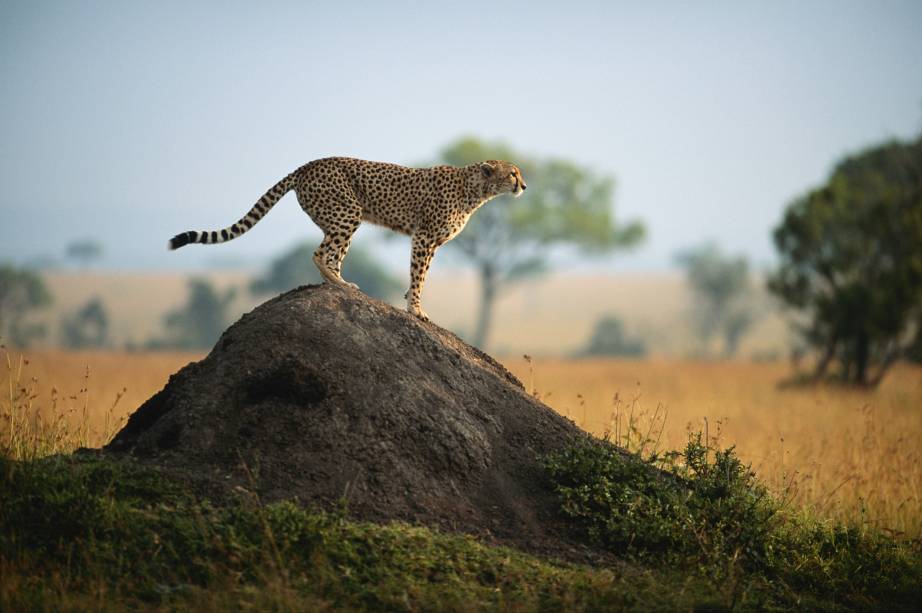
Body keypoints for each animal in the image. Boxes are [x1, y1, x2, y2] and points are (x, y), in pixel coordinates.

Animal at [167, 158, 524, 320]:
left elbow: (419, 276)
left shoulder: (431, 243)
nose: (524, 185)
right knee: (320, 253)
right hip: (347, 213)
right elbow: (419, 275)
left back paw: (337, 283)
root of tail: (308, 164)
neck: (475, 190)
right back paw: (339, 284)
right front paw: (416, 309)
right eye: (513, 173)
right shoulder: (424, 238)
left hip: (342, 218)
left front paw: (410, 300)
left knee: (332, 254)